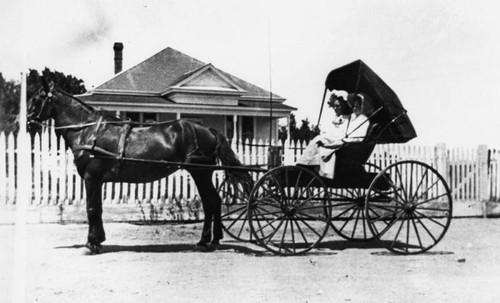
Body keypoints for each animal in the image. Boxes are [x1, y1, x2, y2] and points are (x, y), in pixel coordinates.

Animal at [27, 78, 252, 254]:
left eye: (37, 98)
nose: (27, 121)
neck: (88, 130)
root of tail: (210, 130)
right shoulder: (97, 180)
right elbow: (97, 208)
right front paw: (98, 241)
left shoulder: (91, 177)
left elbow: (92, 208)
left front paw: (91, 244)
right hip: (201, 174)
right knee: (212, 201)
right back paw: (210, 240)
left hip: (200, 173)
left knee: (211, 201)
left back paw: (209, 241)